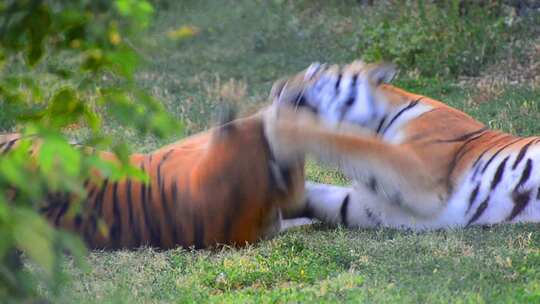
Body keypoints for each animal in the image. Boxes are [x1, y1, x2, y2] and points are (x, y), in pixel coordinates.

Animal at [264, 60, 540, 230]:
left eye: (314, 73)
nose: (275, 87)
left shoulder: (419, 172)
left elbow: (349, 142)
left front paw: (278, 128)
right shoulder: (370, 206)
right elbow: (317, 194)